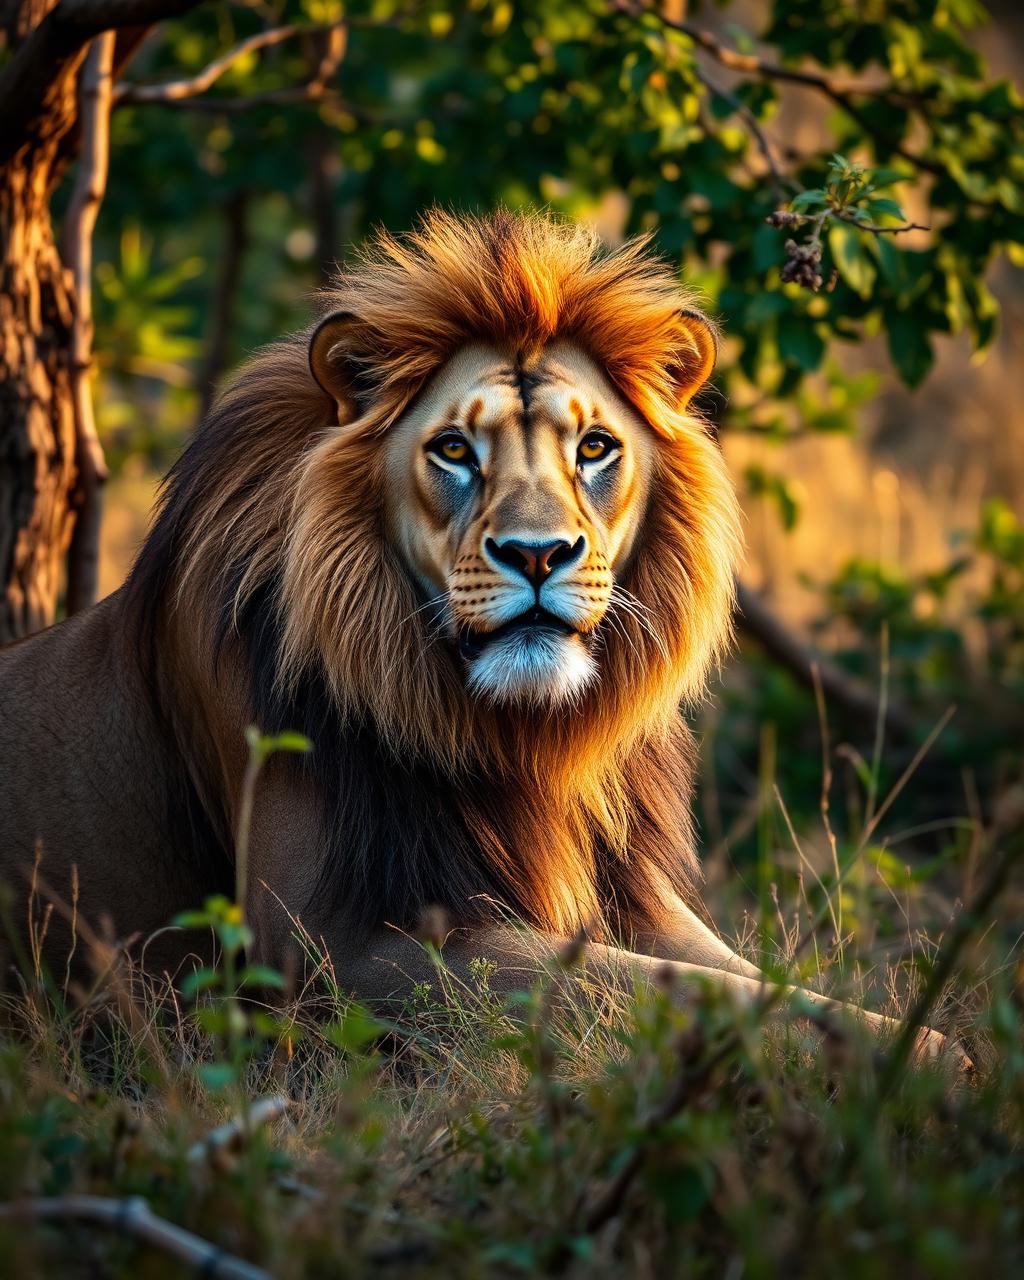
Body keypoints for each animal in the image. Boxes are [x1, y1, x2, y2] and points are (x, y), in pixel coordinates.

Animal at [0, 209, 956, 1061]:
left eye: (596, 447)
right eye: (455, 450)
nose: (538, 554)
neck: (522, 742)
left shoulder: (641, 900)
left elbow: (767, 985)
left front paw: (931, 1048)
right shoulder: (324, 950)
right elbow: (654, 987)